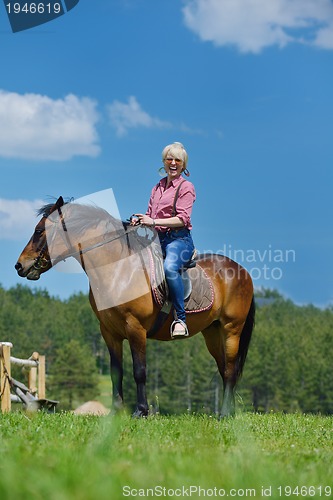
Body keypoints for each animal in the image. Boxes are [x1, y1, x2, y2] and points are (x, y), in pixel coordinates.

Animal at [14, 195, 254, 418]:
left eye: (39, 231)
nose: (19, 266)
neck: (118, 270)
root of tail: (242, 271)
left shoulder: (135, 328)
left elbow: (139, 370)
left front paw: (141, 411)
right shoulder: (109, 332)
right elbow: (116, 371)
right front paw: (115, 412)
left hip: (231, 329)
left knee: (230, 370)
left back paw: (225, 413)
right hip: (212, 332)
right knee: (224, 368)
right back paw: (229, 412)